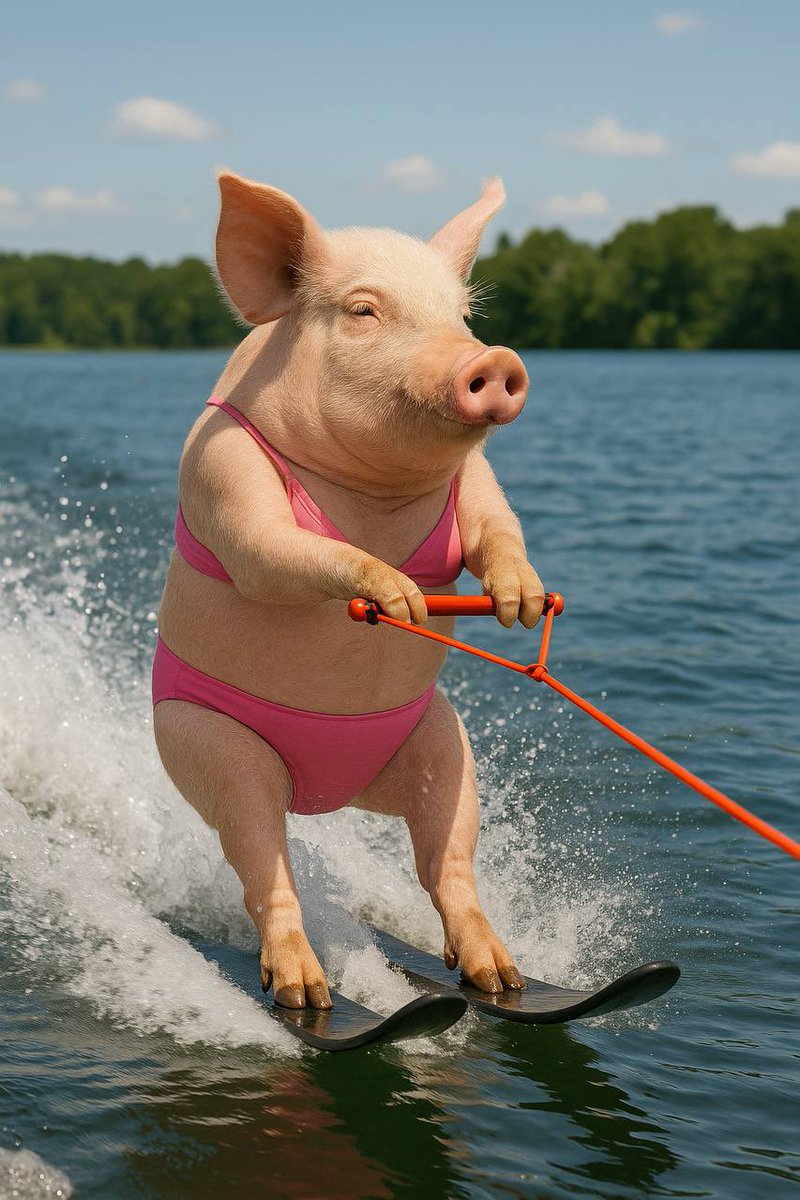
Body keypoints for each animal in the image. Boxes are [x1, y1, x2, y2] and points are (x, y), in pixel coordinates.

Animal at [153, 171, 544, 1010]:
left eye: (463, 315)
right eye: (364, 310)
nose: (494, 358)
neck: (375, 495)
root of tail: (327, 799)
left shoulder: (478, 479)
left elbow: (498, 524)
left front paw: (523, 606)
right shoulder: (222, 473)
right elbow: (272, 549)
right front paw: (400, 599)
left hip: (437, 741)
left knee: (445, 858)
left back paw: (500, 980)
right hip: (212, 747)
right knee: (263, 863)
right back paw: (308, 995)